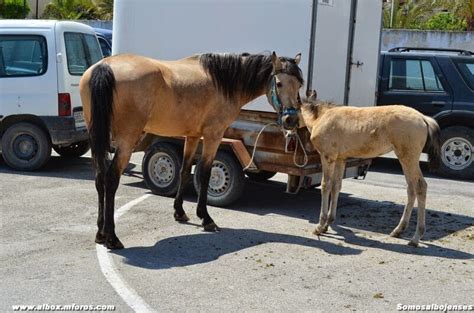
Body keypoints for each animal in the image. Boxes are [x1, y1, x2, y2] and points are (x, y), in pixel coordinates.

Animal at [80, 51, 304, 249]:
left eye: (299, 84)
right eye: (279, 83)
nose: (291, 119)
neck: (223, 82)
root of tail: (105, 66)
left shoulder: (193, 136)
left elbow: (185, 171)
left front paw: (179, 212)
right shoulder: (213, 136)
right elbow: (205, 174)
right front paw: (206, 218)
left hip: (97, 138)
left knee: (100, 179)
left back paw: (100, 233)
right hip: (126, 141)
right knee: (111, 180)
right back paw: (112, 238)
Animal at [298, 90, 442, 246]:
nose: (287, 124)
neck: (321, 117)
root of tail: (423, 117)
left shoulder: (327, 157)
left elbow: (326, 186)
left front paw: (320, 226)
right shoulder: (341, 159)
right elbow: (336, 186)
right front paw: (328, 223)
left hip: (409, 157)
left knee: (420, 187)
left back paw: (416, 238)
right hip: (405, 158)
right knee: (411, 189)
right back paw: (398, 230)